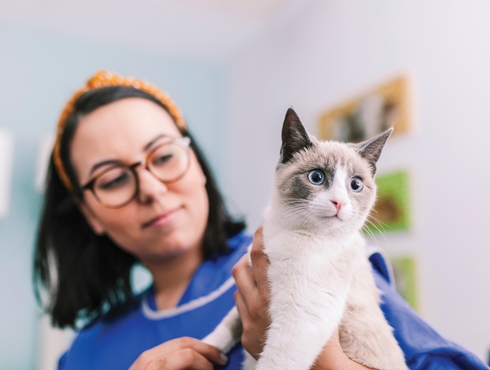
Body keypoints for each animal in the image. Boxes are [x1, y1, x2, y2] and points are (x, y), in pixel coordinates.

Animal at [201, 107, 408, 370]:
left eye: (355, 184)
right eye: (316, 177)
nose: (339, 202)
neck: (290, 230)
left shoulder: (301, 318)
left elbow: (274, 362)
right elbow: (229, 323)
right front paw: (204, 349)